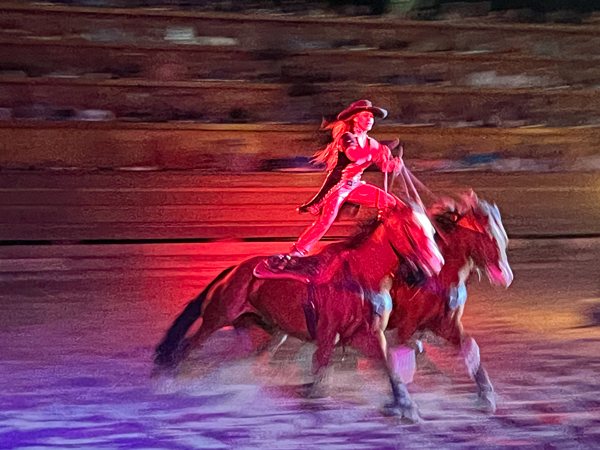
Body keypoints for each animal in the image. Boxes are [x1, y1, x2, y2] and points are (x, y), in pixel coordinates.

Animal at [155, 201, 446, 422]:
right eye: (410, 227)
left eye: (431, 229)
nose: (436, 263)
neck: (361, 276)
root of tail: (232, 271)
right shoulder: (328, 336)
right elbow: (319, 375)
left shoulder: (369, 335)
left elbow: (390, 369)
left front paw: (407, 408)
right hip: (215, 319)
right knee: (187, 347)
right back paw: (168, 383)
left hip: (267, 333)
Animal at [392, 192, 512, 414]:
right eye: (486, 236)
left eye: (503, 237)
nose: (505, 275)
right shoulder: (405, 327)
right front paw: (405, 405)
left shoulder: (445, 325)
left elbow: (470, 349)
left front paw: (486, 395)